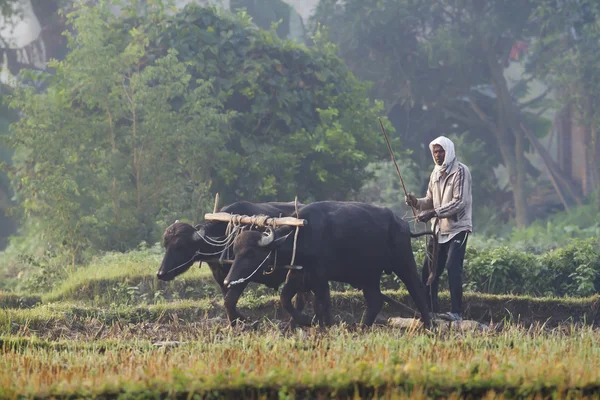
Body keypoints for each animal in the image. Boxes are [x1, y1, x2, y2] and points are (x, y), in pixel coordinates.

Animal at [224, 200, 432, 328]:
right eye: (235, 251)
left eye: (251, 253)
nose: (227, 281)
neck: (302, 237)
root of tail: (403, 225)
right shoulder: (297, 276)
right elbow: (285, 300)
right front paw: (304, 321)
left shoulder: (320, 278)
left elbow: (322, 304)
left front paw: (322, 325)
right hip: (369, 275)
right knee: (375, 301)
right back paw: (361, 327)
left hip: (404, 262)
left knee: (418, 290)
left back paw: (429, 325)